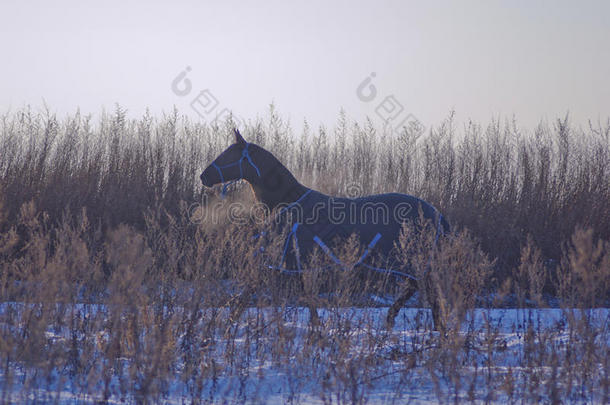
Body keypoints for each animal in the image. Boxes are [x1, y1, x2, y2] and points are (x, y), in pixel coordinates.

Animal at [202, 129, 448, 328]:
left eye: (229, 154)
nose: (203, 176)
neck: (288, 201)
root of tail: (436, 213)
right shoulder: (296, 262)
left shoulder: (285, 258)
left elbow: (254, 287)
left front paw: (230, 320)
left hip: (410, 260)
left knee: (424, 290)